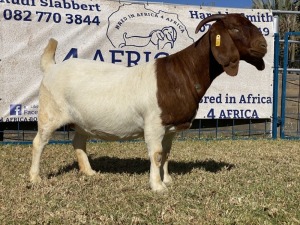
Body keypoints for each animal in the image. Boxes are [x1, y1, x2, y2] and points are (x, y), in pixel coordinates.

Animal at [29, 13, 268, 192]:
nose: (264, 45)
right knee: (39, 142)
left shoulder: (170, 128)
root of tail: (51, 67)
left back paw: (89, 172)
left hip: (81, 121)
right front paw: (157, 186)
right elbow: (156, 154)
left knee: (78, 142)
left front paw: (167, 179)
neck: (182, 73)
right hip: (50, 113)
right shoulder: (153, 124)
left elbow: (167, 153)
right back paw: (35, 178)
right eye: (235, 29)